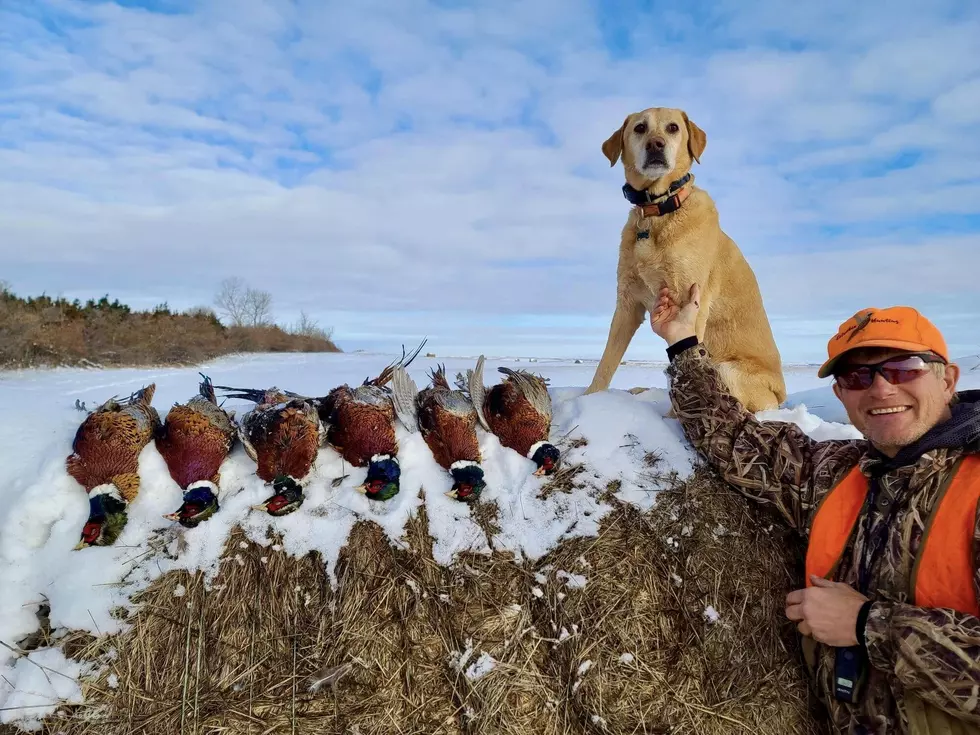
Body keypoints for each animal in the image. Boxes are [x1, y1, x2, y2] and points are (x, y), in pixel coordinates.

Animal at [584, 108, 784, 414]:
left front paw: (671, 418)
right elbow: (606, 362)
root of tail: (781, 395)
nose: (655, 145)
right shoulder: (627, 303)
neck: (657, 212)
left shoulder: (691, 305)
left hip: (728, 369)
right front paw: (589, 399)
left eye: (673, 128)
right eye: (640, 128)